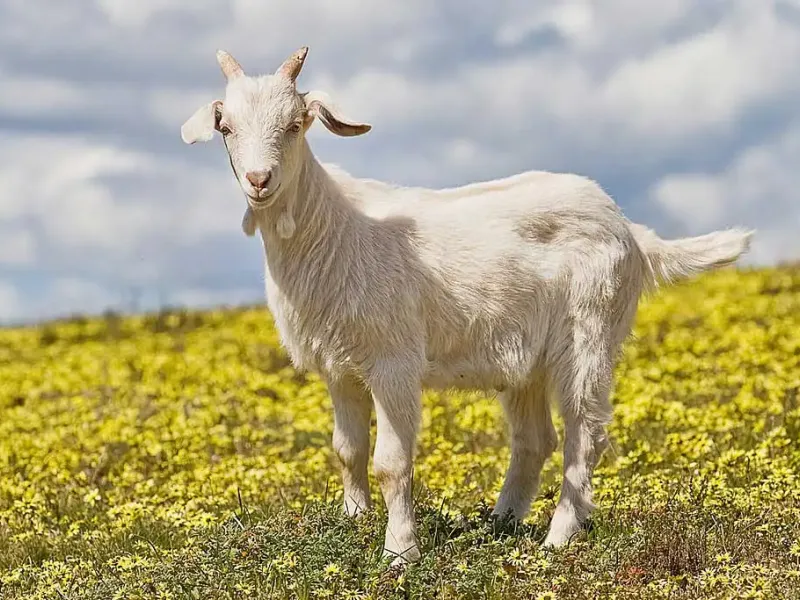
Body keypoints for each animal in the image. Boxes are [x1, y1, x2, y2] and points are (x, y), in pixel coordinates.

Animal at [181, 47, 753, 566]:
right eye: (226, 127)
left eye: (296, 124)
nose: (259, 181)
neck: (335, 228)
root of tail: (631, 231)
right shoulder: (338, 368)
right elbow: (348, 451)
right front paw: (354, 524)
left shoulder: (394, 362)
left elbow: (392, 461)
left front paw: (400, 552)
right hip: (527, 361)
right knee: (534, 439)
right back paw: (500, 524)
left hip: (591, 331)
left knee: (585, 434)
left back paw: (558, 537)